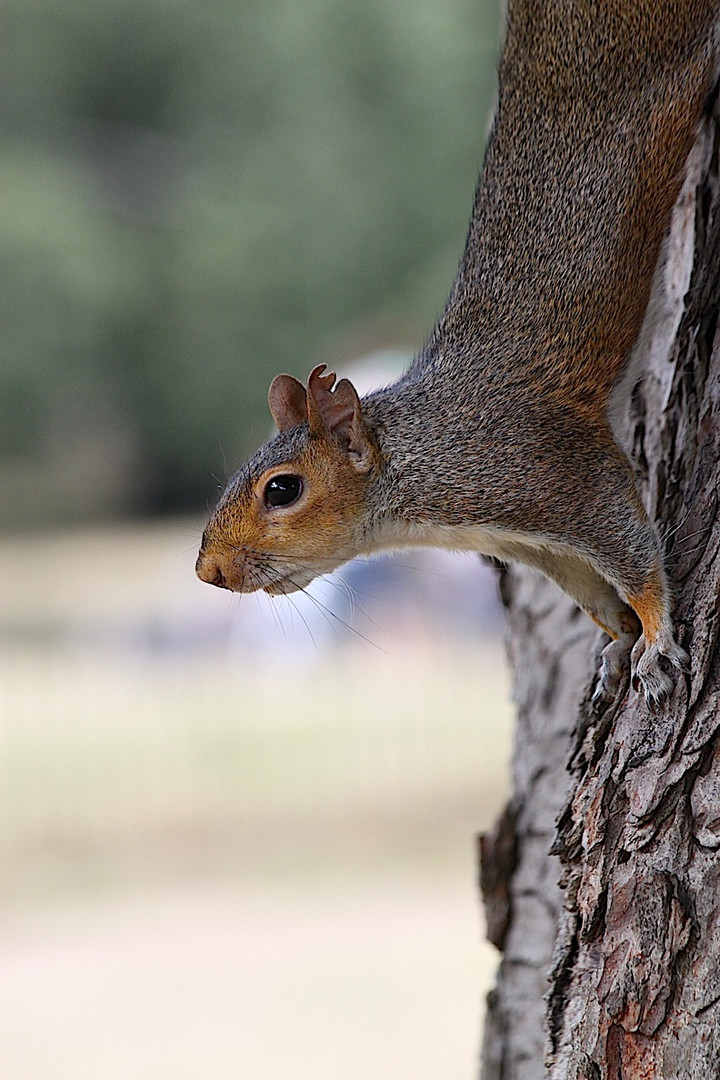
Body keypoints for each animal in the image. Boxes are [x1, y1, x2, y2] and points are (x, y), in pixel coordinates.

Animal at [197, 0, 720, 704]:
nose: (208, 571)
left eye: (282, 490)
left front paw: (656, 637)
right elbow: (595, 595)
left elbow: (633, 556)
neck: (418, 466)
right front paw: (618, 642)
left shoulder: (555, 474)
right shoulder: (539, 545)